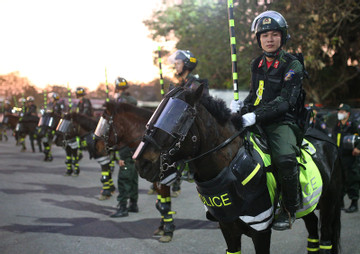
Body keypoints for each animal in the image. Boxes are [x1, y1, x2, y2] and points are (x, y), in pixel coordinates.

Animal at [134, 86, 342, 254]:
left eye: (175, 119)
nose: (141, 162)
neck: (228, 166)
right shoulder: (228, 228)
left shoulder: (261, 230)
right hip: (308, 206)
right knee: (313, 230)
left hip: (329, 203)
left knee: (326, 239)